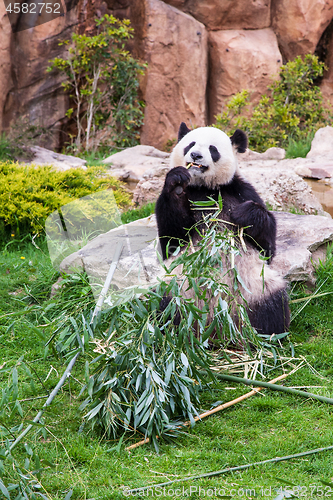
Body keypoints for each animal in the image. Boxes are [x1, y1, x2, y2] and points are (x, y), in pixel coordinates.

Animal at [156, 123, 288, 336]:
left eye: (213, 149)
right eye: (190, 144)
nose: (195, 155)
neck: (206, 188)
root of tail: (218, 320)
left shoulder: (240, 191)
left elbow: (267, 247)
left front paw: (244, 214)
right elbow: (172, 240)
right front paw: (177, 183)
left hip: (256, 287)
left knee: (273, 307)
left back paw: (266, 334)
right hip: (178, 288)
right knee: (168, 307)